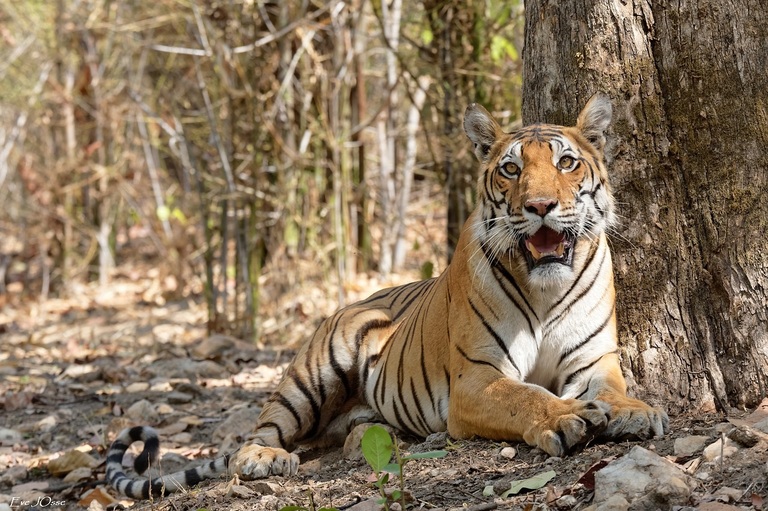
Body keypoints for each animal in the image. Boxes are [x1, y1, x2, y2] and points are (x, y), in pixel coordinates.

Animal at [107, 93, 669, 499]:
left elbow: (613, 389)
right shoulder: (477, 379)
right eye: (511, 169)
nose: (540, 205)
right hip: (312, 374)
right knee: (264, 427)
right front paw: (566, 416)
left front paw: (634, 411)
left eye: (567, 162)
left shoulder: (593, 360)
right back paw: (263, 458)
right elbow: (525, 395)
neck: (545, 286)